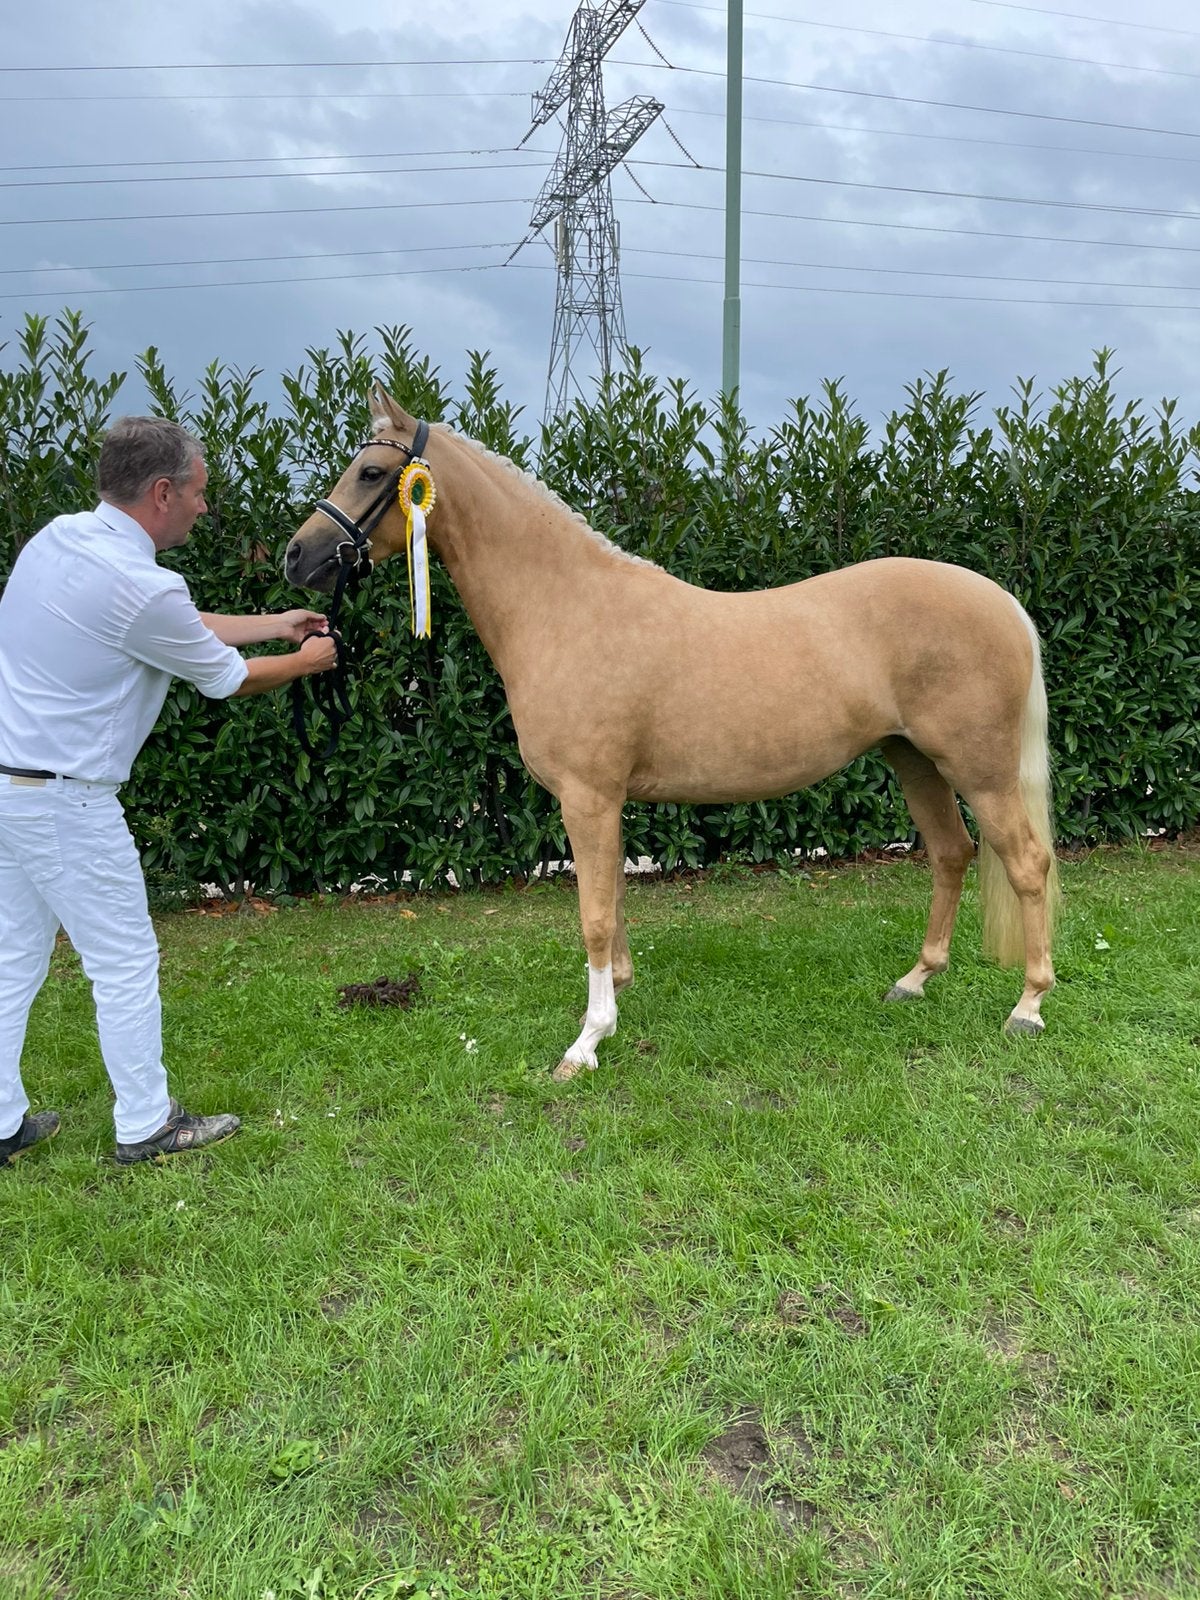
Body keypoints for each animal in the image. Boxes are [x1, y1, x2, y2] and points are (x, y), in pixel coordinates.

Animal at [285, 385, 1059, 1080]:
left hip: (979, 769)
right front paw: (617, 996)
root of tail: (1001, 600)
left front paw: (586, 1044)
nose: (297, 556)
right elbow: (612, 901)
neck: (567, 608)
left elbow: (594, 915)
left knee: (1027, 863)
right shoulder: (603, 802)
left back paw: (1028, 1006)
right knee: (952, 854)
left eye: (372, 472)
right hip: (914, 760)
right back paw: (915, 980)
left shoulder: (588, 797)